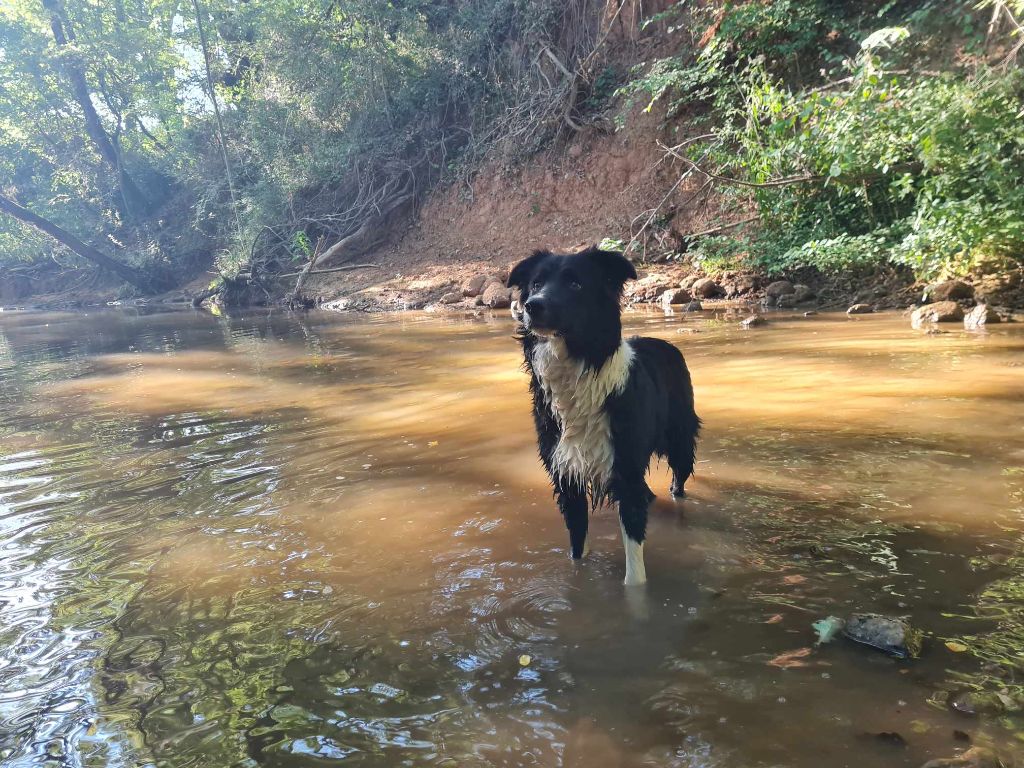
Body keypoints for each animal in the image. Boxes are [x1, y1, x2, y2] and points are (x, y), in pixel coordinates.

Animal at [507, 249, 700, 585]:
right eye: (535, 283)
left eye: (575, 283)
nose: (532, 305)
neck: (578, 368)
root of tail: (665, 342)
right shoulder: (566, 475)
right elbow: (577, 548)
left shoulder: (626, 470)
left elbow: (634, 571)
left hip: (679, 439)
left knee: (679, 477)